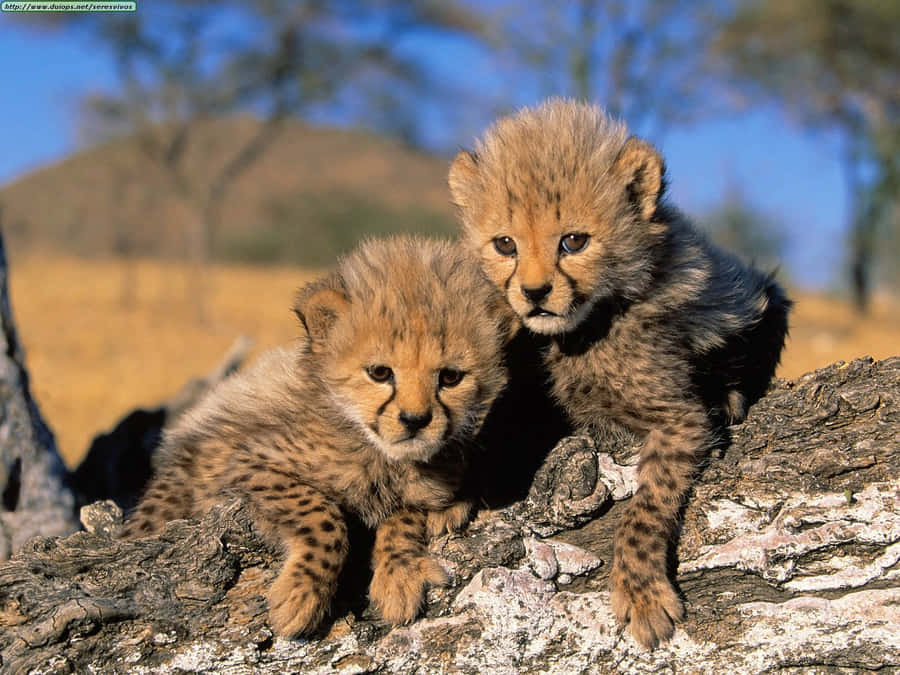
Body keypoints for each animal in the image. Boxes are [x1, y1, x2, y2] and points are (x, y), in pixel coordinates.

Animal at [123, 235, 515, 637]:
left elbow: (406, 515)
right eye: (380, 372)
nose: (415, 420)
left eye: (450, 377)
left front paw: (399, 575)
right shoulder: (250, 465)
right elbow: (323, 515)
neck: (375, 450)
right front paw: (301, 595)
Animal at [449, 98, 790, 648]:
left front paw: (641, 593)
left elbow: (643, 510)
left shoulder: (679, 419)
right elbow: (494, 431)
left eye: (573, 241)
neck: (582, 331)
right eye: (505, 244)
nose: (534, 293)